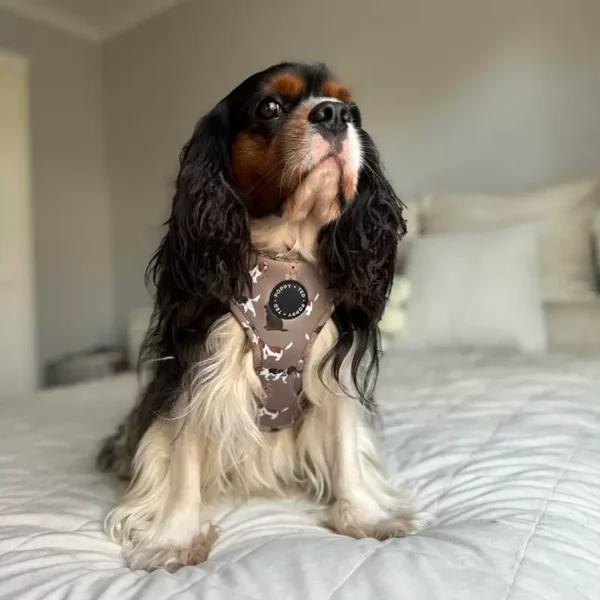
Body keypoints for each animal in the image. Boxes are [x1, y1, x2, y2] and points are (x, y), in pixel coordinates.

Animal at [97, 62, 427, 572]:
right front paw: (174, 539)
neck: (284, 257)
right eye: (270, 107)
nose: (334, 115)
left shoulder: (329, 371)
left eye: (352, 110)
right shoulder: (196, 368)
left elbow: (345, 449)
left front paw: (367, 516)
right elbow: (183, 459)